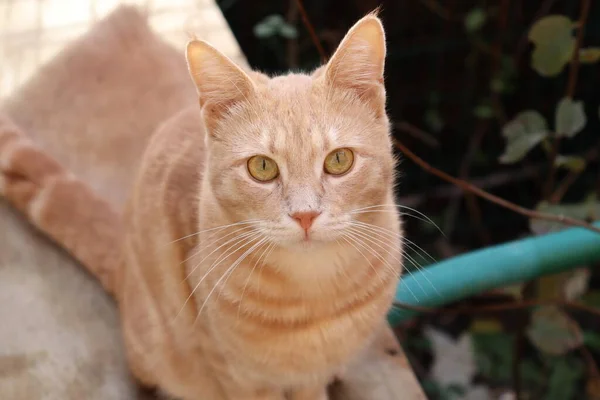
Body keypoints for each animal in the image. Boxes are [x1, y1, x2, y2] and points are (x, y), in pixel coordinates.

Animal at [1, 12, 404, 400]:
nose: (305, 215)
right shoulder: (237, 373)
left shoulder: (311, 375)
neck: (313, 292)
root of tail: (125, 263)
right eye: (262, 167)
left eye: (339, 160)